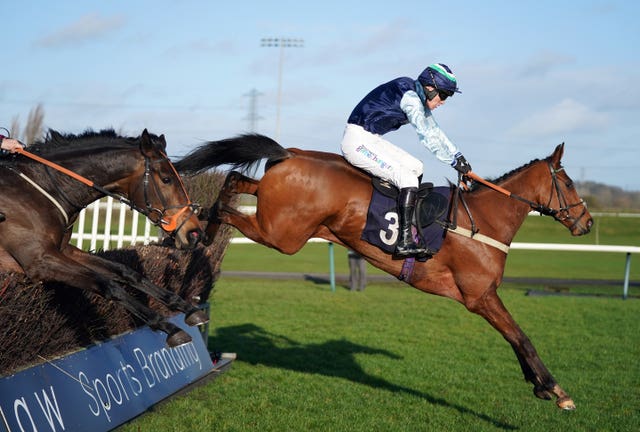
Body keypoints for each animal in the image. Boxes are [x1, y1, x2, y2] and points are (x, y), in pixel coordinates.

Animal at [0, 129, 208, 348]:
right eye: (166, 179)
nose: (195, 233)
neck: (39, 189)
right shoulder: (39, 260)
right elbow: (108, 285)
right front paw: (167, 326)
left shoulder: (63, 250)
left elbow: (126, 272)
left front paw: (187, 307)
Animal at [176, 134, 596, 408]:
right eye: (568, 182)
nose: (588, 222)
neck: (484, 223)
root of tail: (289, 152)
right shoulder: (480, 296)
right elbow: (522, 336)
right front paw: (556, 390)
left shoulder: (484, 297)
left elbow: (515, 338)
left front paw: (539, 385)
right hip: (282, 234)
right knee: (225, 208)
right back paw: (199, 236)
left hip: (272, 209)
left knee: (234, 179)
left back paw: (199, 244)